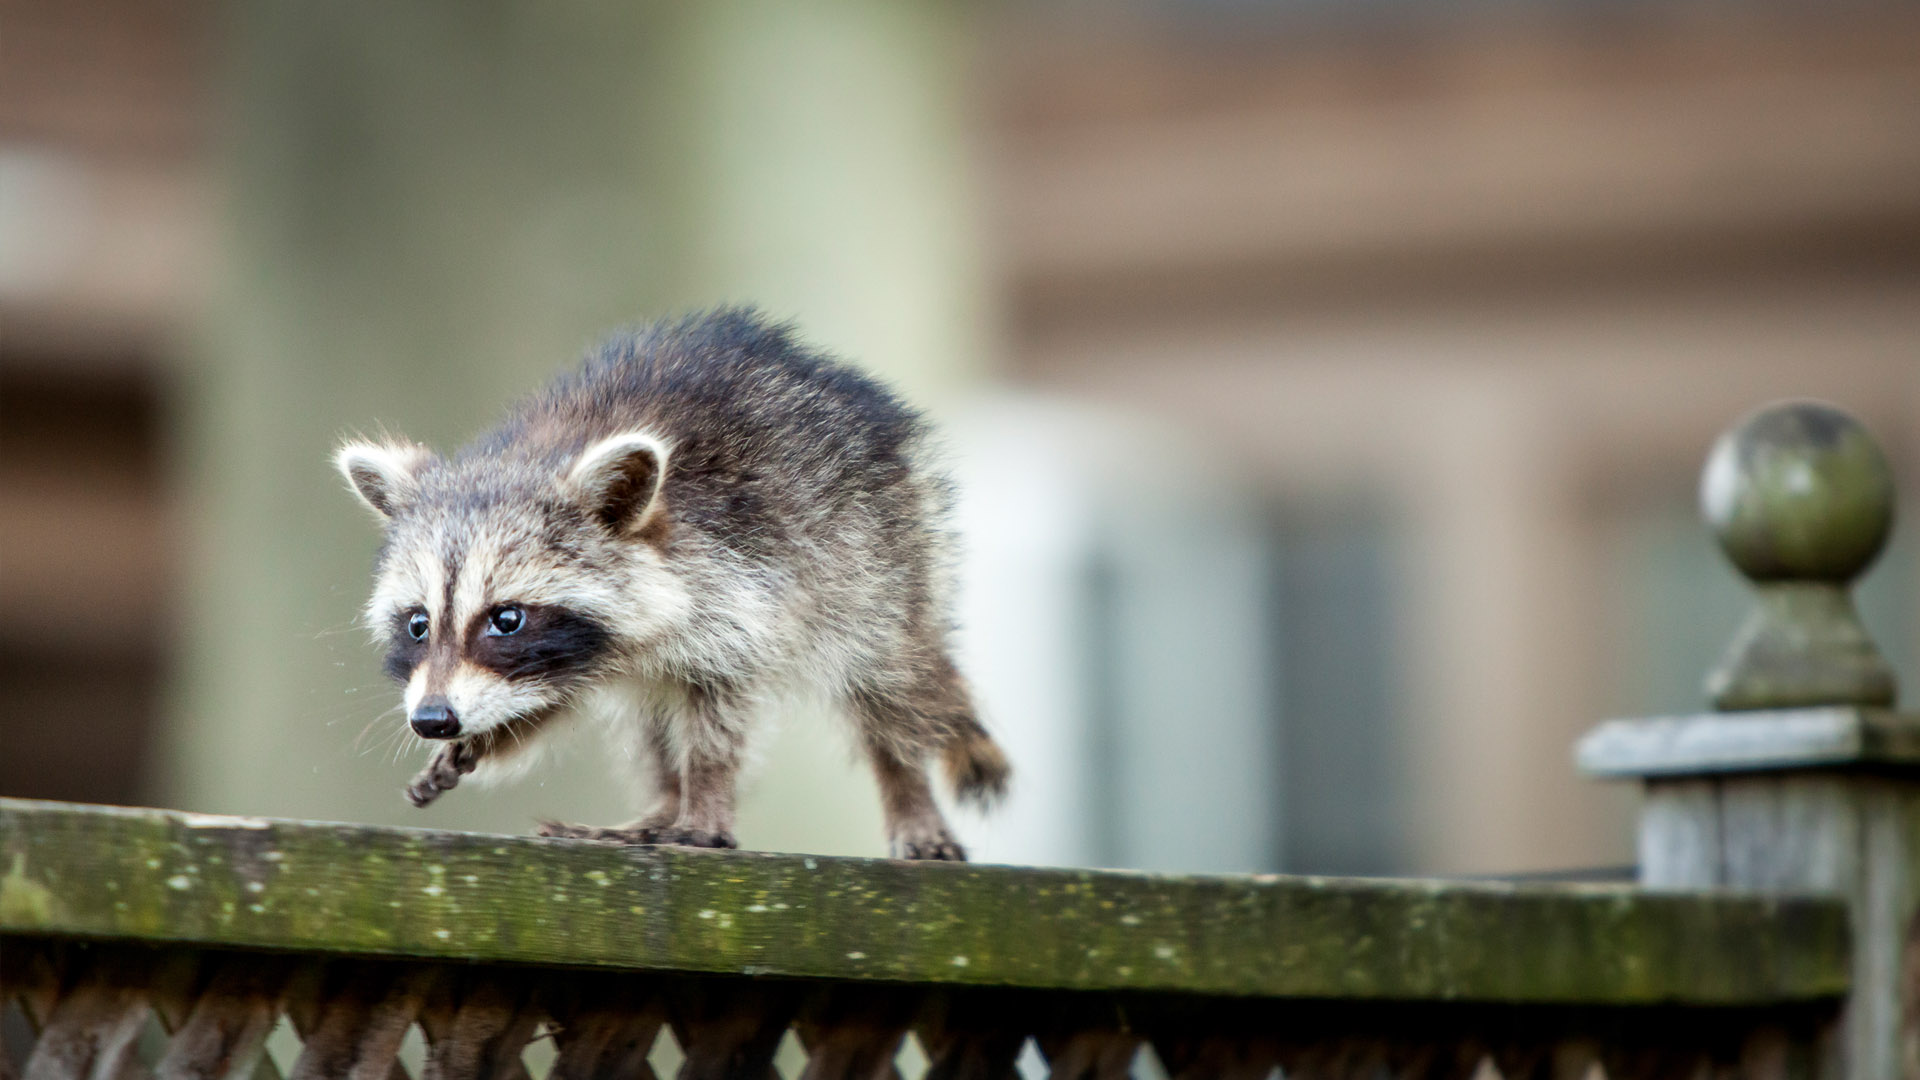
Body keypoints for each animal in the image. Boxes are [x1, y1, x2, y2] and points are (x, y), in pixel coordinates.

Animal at [337, 309, 1013, 857]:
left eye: (507, 619)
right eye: (418, 623)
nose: (433, 718)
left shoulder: (740, 585)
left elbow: (720, 710)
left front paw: (707, 799)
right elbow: (549, 701)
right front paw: (490, 735)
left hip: (881, 553)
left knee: (891, 682)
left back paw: (905, 788)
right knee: (651, 721)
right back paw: (662, 803)